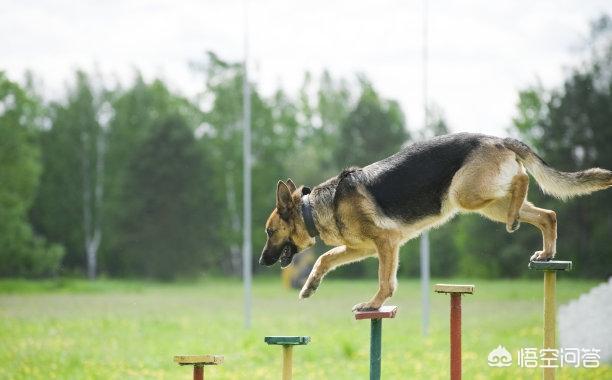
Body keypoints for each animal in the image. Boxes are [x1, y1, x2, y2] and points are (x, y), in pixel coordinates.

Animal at [256, 132, 608, 310]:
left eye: (270, 232)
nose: (261, 262)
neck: (313, 208)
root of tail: (496, 137)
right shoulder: (363, 249)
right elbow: (326, 259)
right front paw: (310, 287)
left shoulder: (386, 244)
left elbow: (385, 282)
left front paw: (373, 304)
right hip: (489, 204)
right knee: (547, 214)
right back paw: (546, 252)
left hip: (466, 194)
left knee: (522, 179)